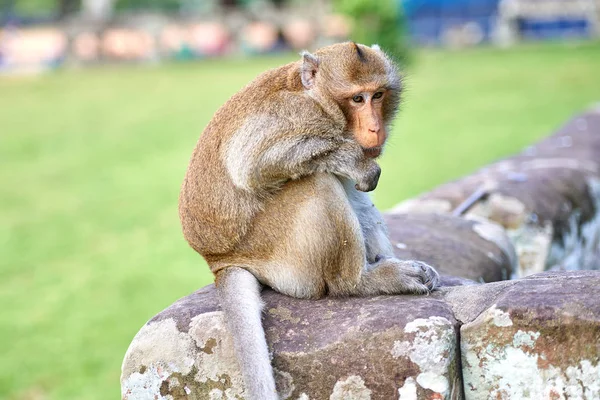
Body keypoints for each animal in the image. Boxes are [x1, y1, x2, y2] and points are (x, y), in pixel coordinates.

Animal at [178, 42, 440, 398]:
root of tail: (218, 261)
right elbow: (252, 164)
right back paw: (362, 280)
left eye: (378, 95)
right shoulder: (298, 115)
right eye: (357, 99)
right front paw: (355, 161)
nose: (375, 128)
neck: (316, 98)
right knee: (316, 181)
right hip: (276, 250)